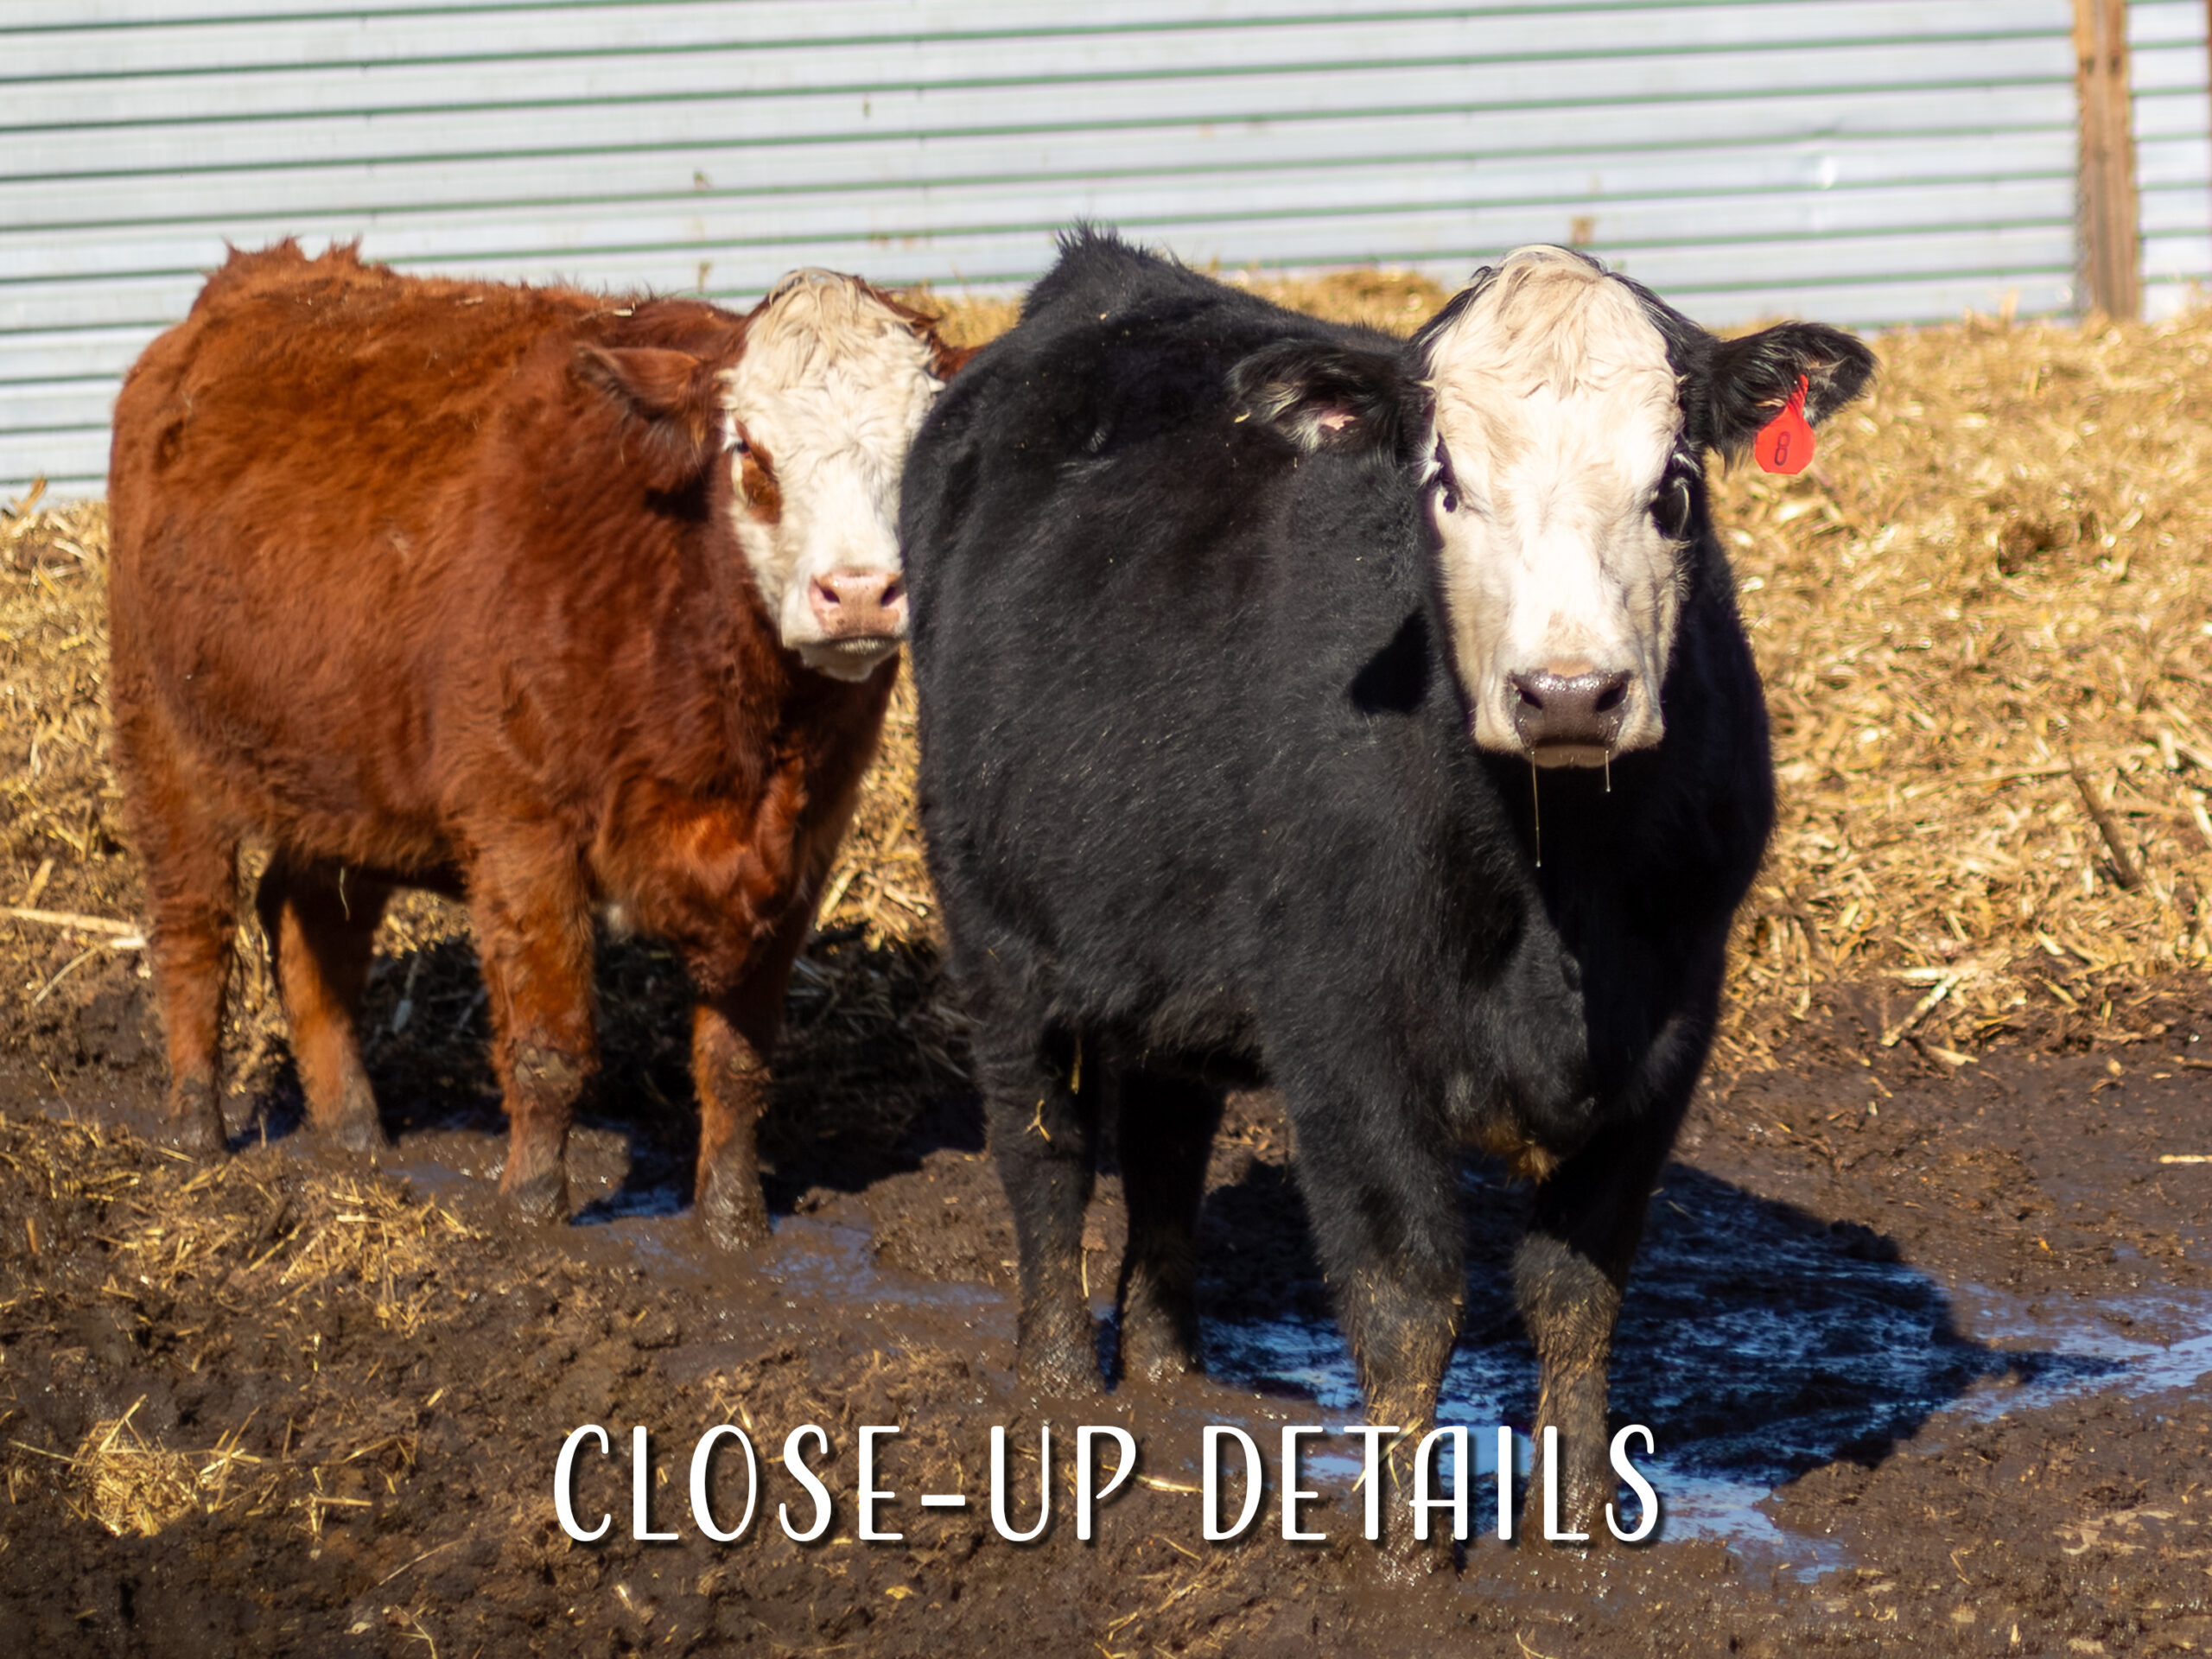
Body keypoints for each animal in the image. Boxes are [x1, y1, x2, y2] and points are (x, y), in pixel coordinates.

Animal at [107, 242, 964, 1245]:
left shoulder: (802, 848)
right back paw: (194, 1133)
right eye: (750, 449)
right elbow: (550, 1044)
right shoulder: (522, 831)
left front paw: (732, 1225)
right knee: (193, 931)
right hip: (163, 743)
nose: (859, 593)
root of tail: (245, 287)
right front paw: (531, 1215)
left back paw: (353, 1134)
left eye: (922, 455)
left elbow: (737, 1060)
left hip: (342, 773)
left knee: (310, 922)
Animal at [901, 229, 1873, 1539]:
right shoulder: (1342, 1028)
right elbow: (1406, 1301)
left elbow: (1577, 1292)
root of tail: (1104, 279)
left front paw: (1579, 1524)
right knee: (1045, 1154)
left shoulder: (1672, 1024)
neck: (1553, 879)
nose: (1569, 694)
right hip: (997, 932)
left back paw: (1168, 1373)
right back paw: (1060, 1391)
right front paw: (1404, 1550)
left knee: (1164, 1143)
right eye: (1445, 484)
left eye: (1672, 487)